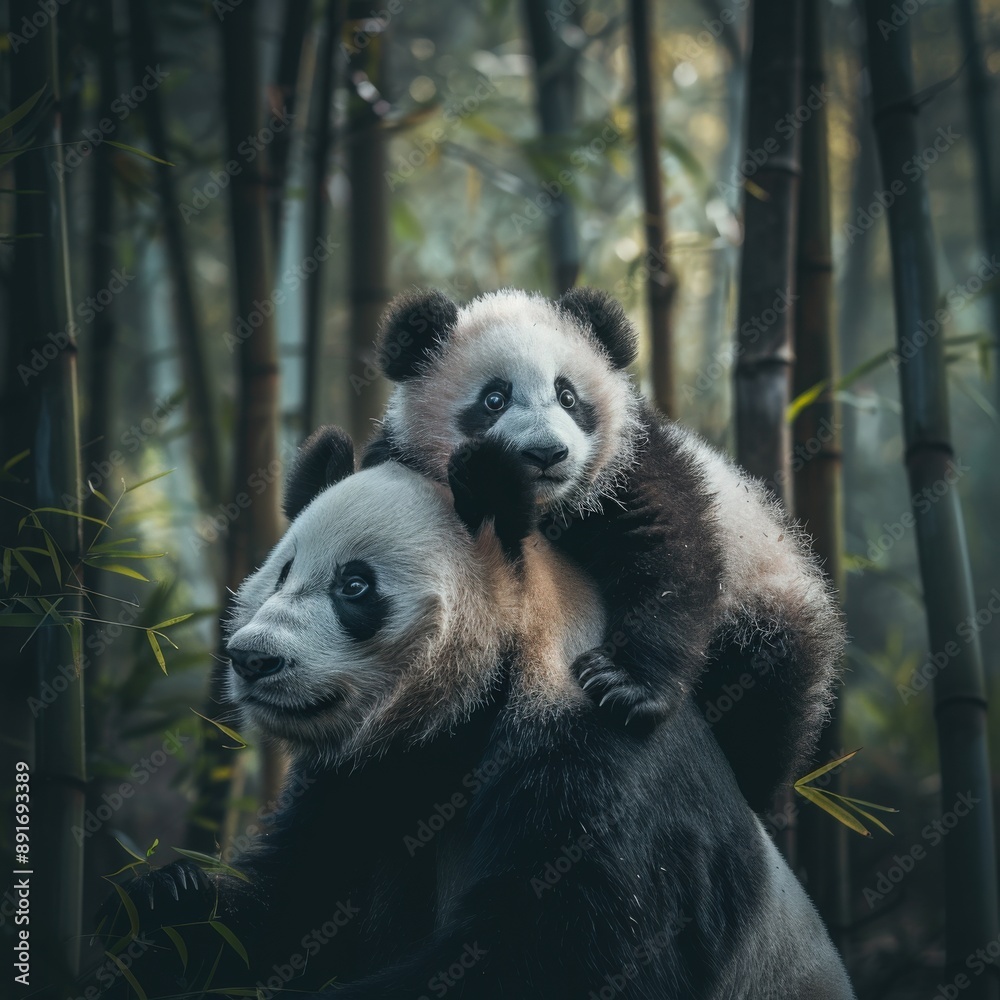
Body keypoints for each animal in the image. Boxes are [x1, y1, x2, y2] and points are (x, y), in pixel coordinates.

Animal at [90, 426, 855, 1000]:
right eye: (279, 573)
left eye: (354, 586)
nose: (252, 658)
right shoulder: (368, 779)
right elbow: (292, 905)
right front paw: (163, 901)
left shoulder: (595, 763)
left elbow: (548, 960)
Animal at [364, 287, 847, 812]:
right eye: (494, 399)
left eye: (568, 396)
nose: (546, 454)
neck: (546, 509)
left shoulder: (631, 462)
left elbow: (668, 558)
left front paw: (625, 685)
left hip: (766, 590)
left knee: (767, 685)